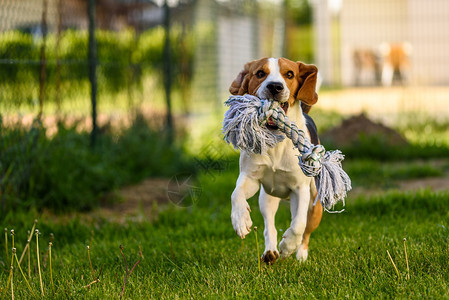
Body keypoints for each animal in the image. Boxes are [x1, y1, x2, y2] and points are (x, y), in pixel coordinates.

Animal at [229, 57, 320, 264]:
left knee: (305, 230)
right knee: (268, 226)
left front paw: (288, 246)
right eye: (260, 73)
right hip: (267, 198)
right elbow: (236, 194)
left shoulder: (300, 189)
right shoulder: (250, 177)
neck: (276, 141)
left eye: (290, 74)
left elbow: (298, 224)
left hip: (315, 204)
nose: (275, 87)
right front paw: (240, 220)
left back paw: (300, 254)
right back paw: (270, 252)